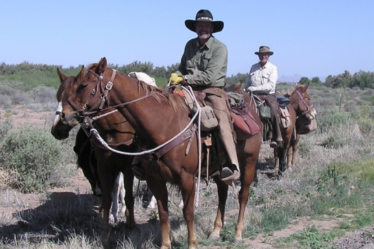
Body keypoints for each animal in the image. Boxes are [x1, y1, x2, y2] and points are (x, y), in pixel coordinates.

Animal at [50, 66, 137, 233]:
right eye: (57, 96)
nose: (56, 129)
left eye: (72, 95)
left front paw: (119, 214)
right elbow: (109, 189)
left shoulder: (124, 165)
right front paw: (110, 214)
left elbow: (118, 188)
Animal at [61, 57, 262, 249]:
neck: (164, 124)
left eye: (83, 85)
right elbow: (163, 213)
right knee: (222, 193)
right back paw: (215, 231)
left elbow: (188, 212)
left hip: (249, 162)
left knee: (243, 195)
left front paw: (192, 244)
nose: (64, 115)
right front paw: (165, 244)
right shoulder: (154, 178)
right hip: (220, 168)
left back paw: (237, 234)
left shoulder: (187, 179)